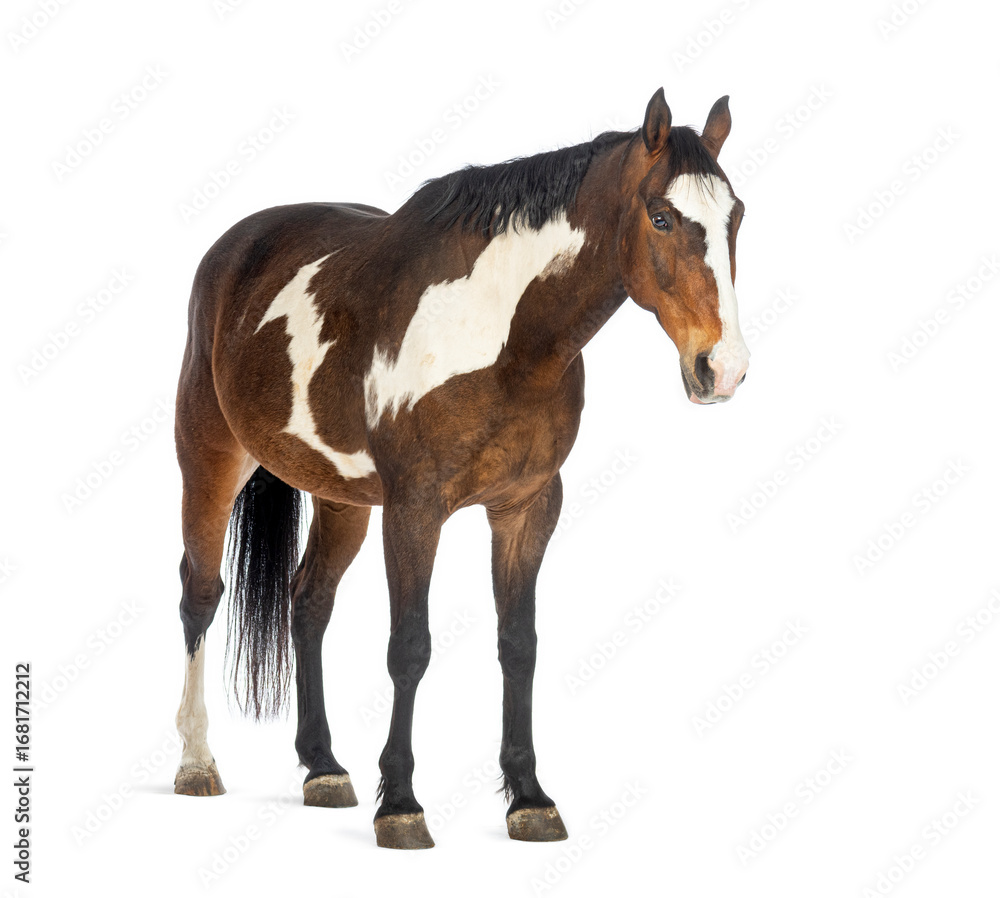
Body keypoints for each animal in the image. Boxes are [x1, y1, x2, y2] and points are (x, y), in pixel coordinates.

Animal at [172, 87, 750, 849]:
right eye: (661, 215)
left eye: (735, 217)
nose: (724, 368)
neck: (501, 337)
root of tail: (234, 246)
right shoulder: (416, 510)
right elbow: (410, 647)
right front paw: (401, 805)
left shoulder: (527, 508)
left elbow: (519, 644)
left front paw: (529, 798)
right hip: (211, 459)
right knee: (200, 595)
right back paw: (196, 763)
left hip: (343, 499)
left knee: (308, 602)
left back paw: (323, 767)